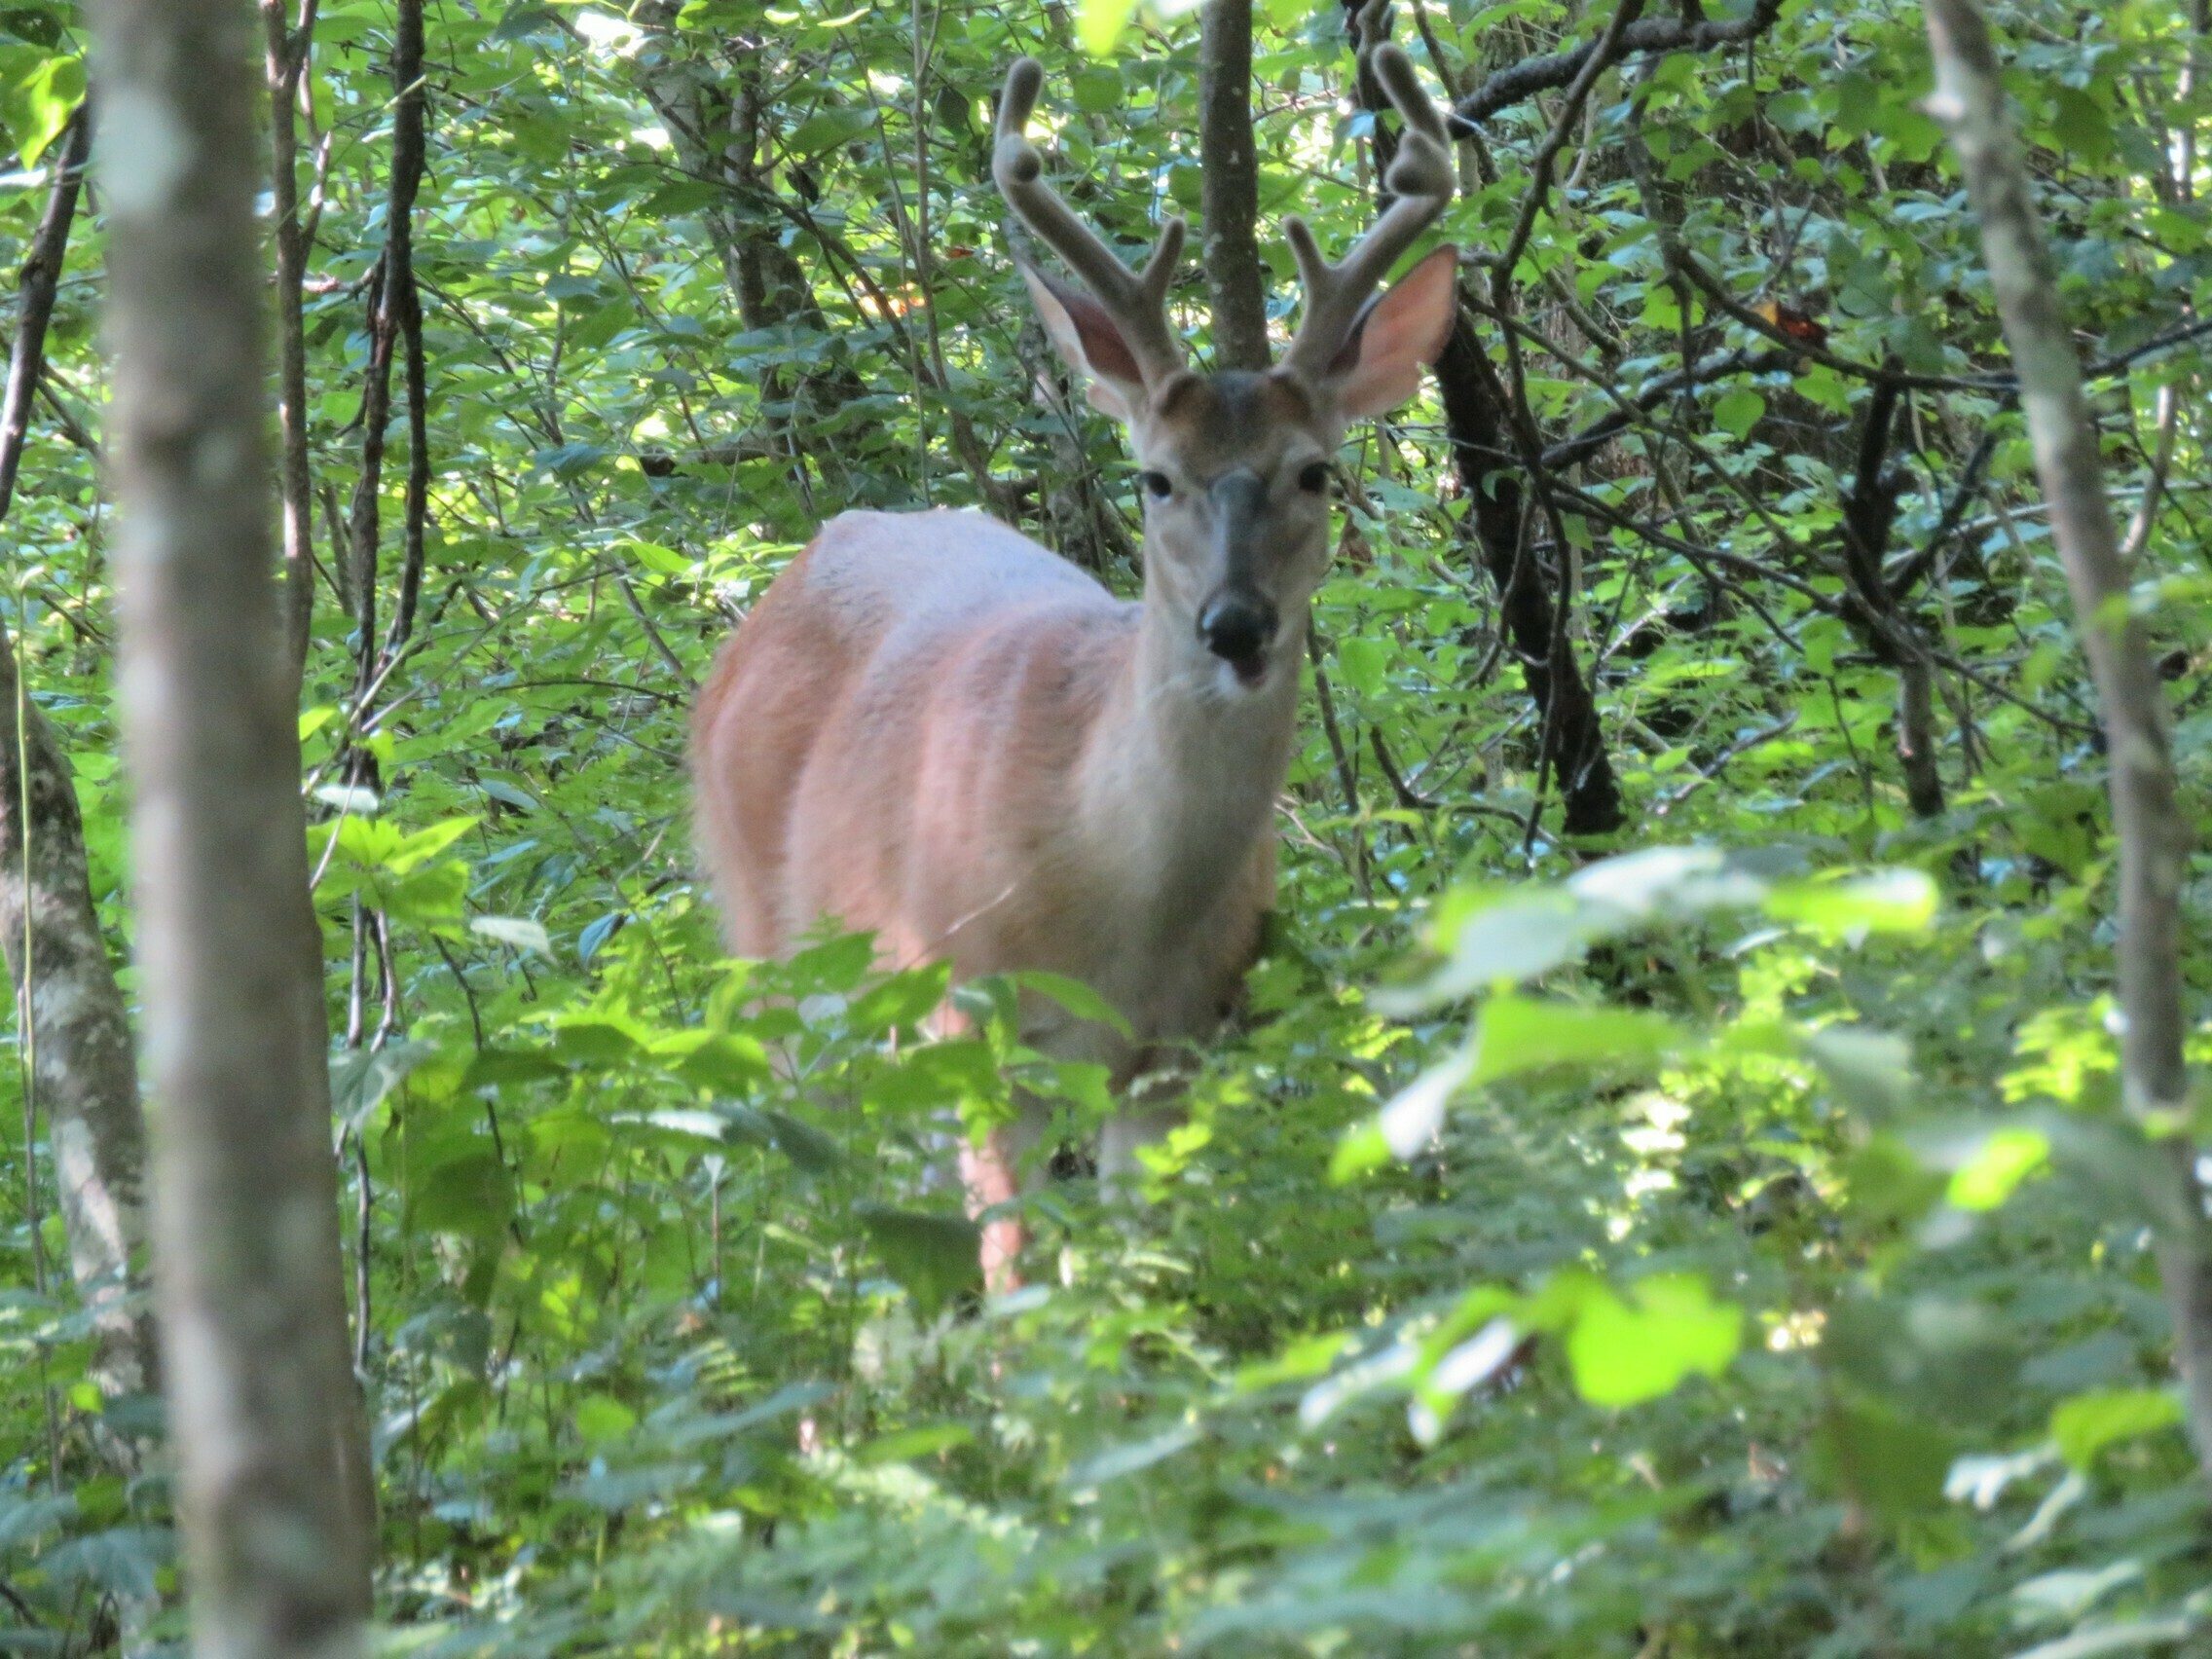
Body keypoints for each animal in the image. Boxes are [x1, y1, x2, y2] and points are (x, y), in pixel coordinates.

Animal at [691, 46, 1460, 1288]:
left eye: (1314, 473)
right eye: (1153, 477)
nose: (1234, 627)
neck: (1117, 898)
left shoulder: (1179, 1040)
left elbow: (1131, 1278)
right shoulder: (969, 1017)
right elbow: (1017, 1277)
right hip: (777, 958)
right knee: (819, 1203)